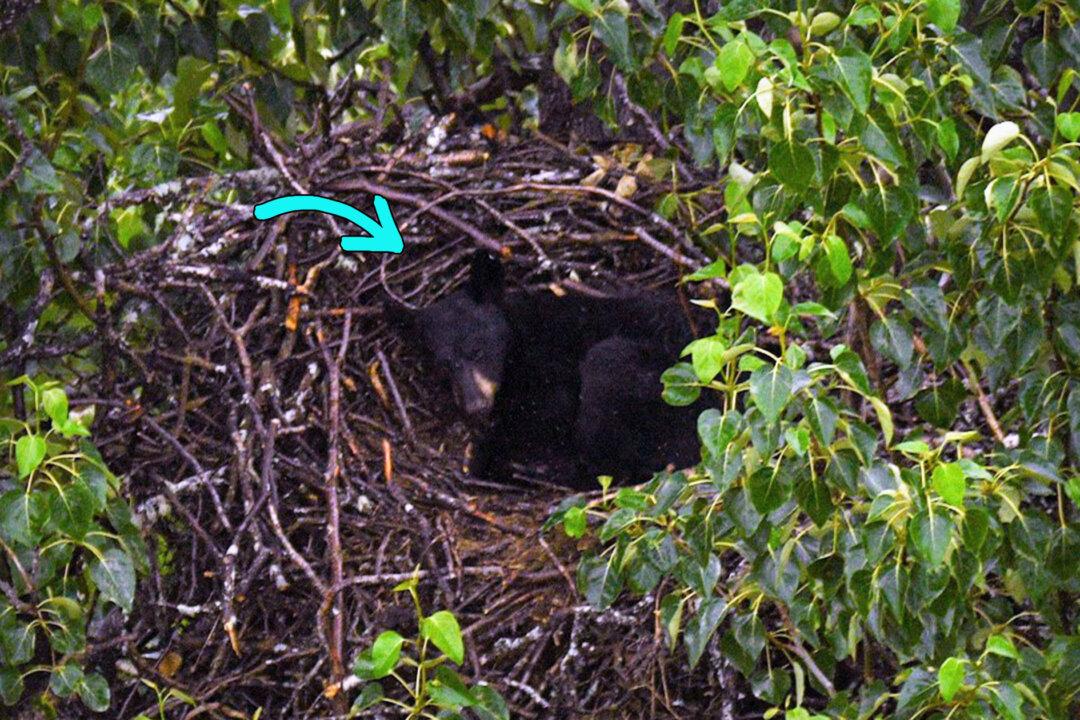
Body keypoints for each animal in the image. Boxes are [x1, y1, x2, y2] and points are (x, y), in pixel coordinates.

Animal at [390, 250, 717, 489]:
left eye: (477, 349)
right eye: (442, 364)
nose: (475, 406)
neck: (517, 338)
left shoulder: (550, 362)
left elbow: (549, 409)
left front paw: (489, 452)